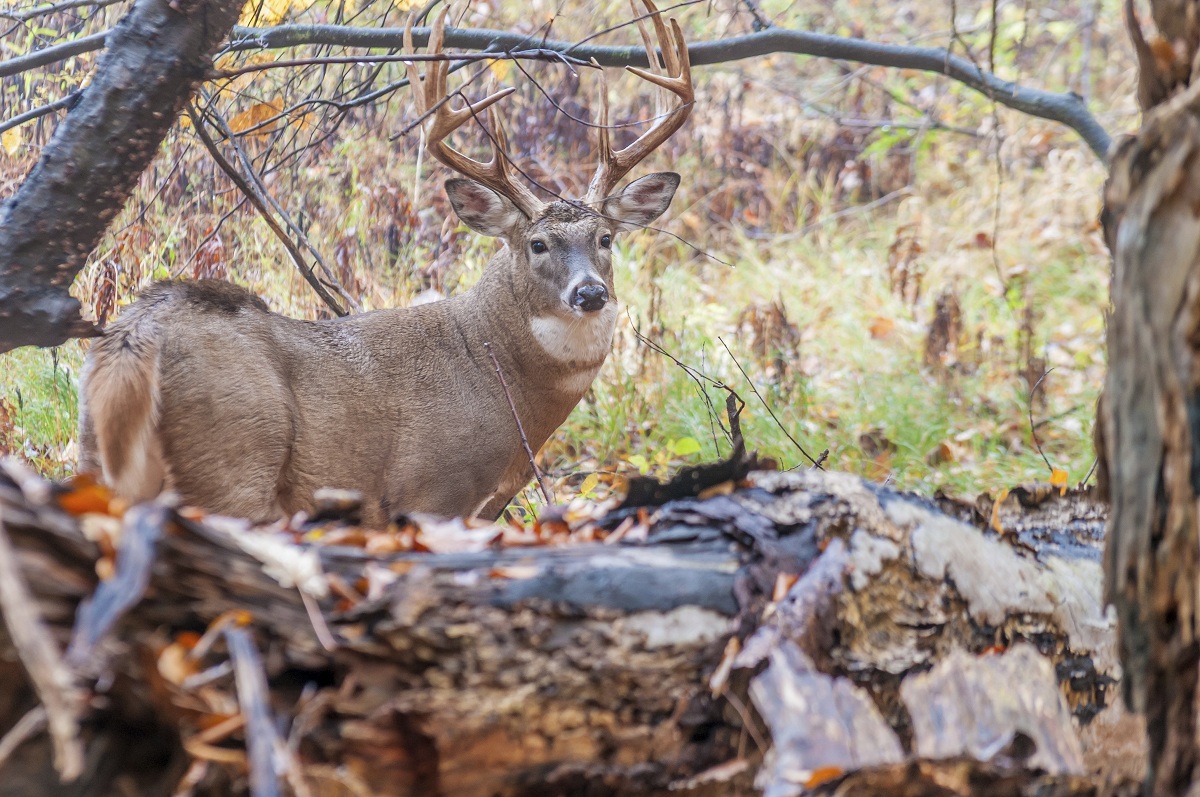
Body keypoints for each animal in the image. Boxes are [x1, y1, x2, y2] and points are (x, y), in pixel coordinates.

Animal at [77, 1, 696, 528]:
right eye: (537, 244)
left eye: (606, 238)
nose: (589, 293)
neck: (499, 372)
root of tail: (134, 339)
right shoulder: (432, 491)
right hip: (231, 460)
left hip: (96, 456)